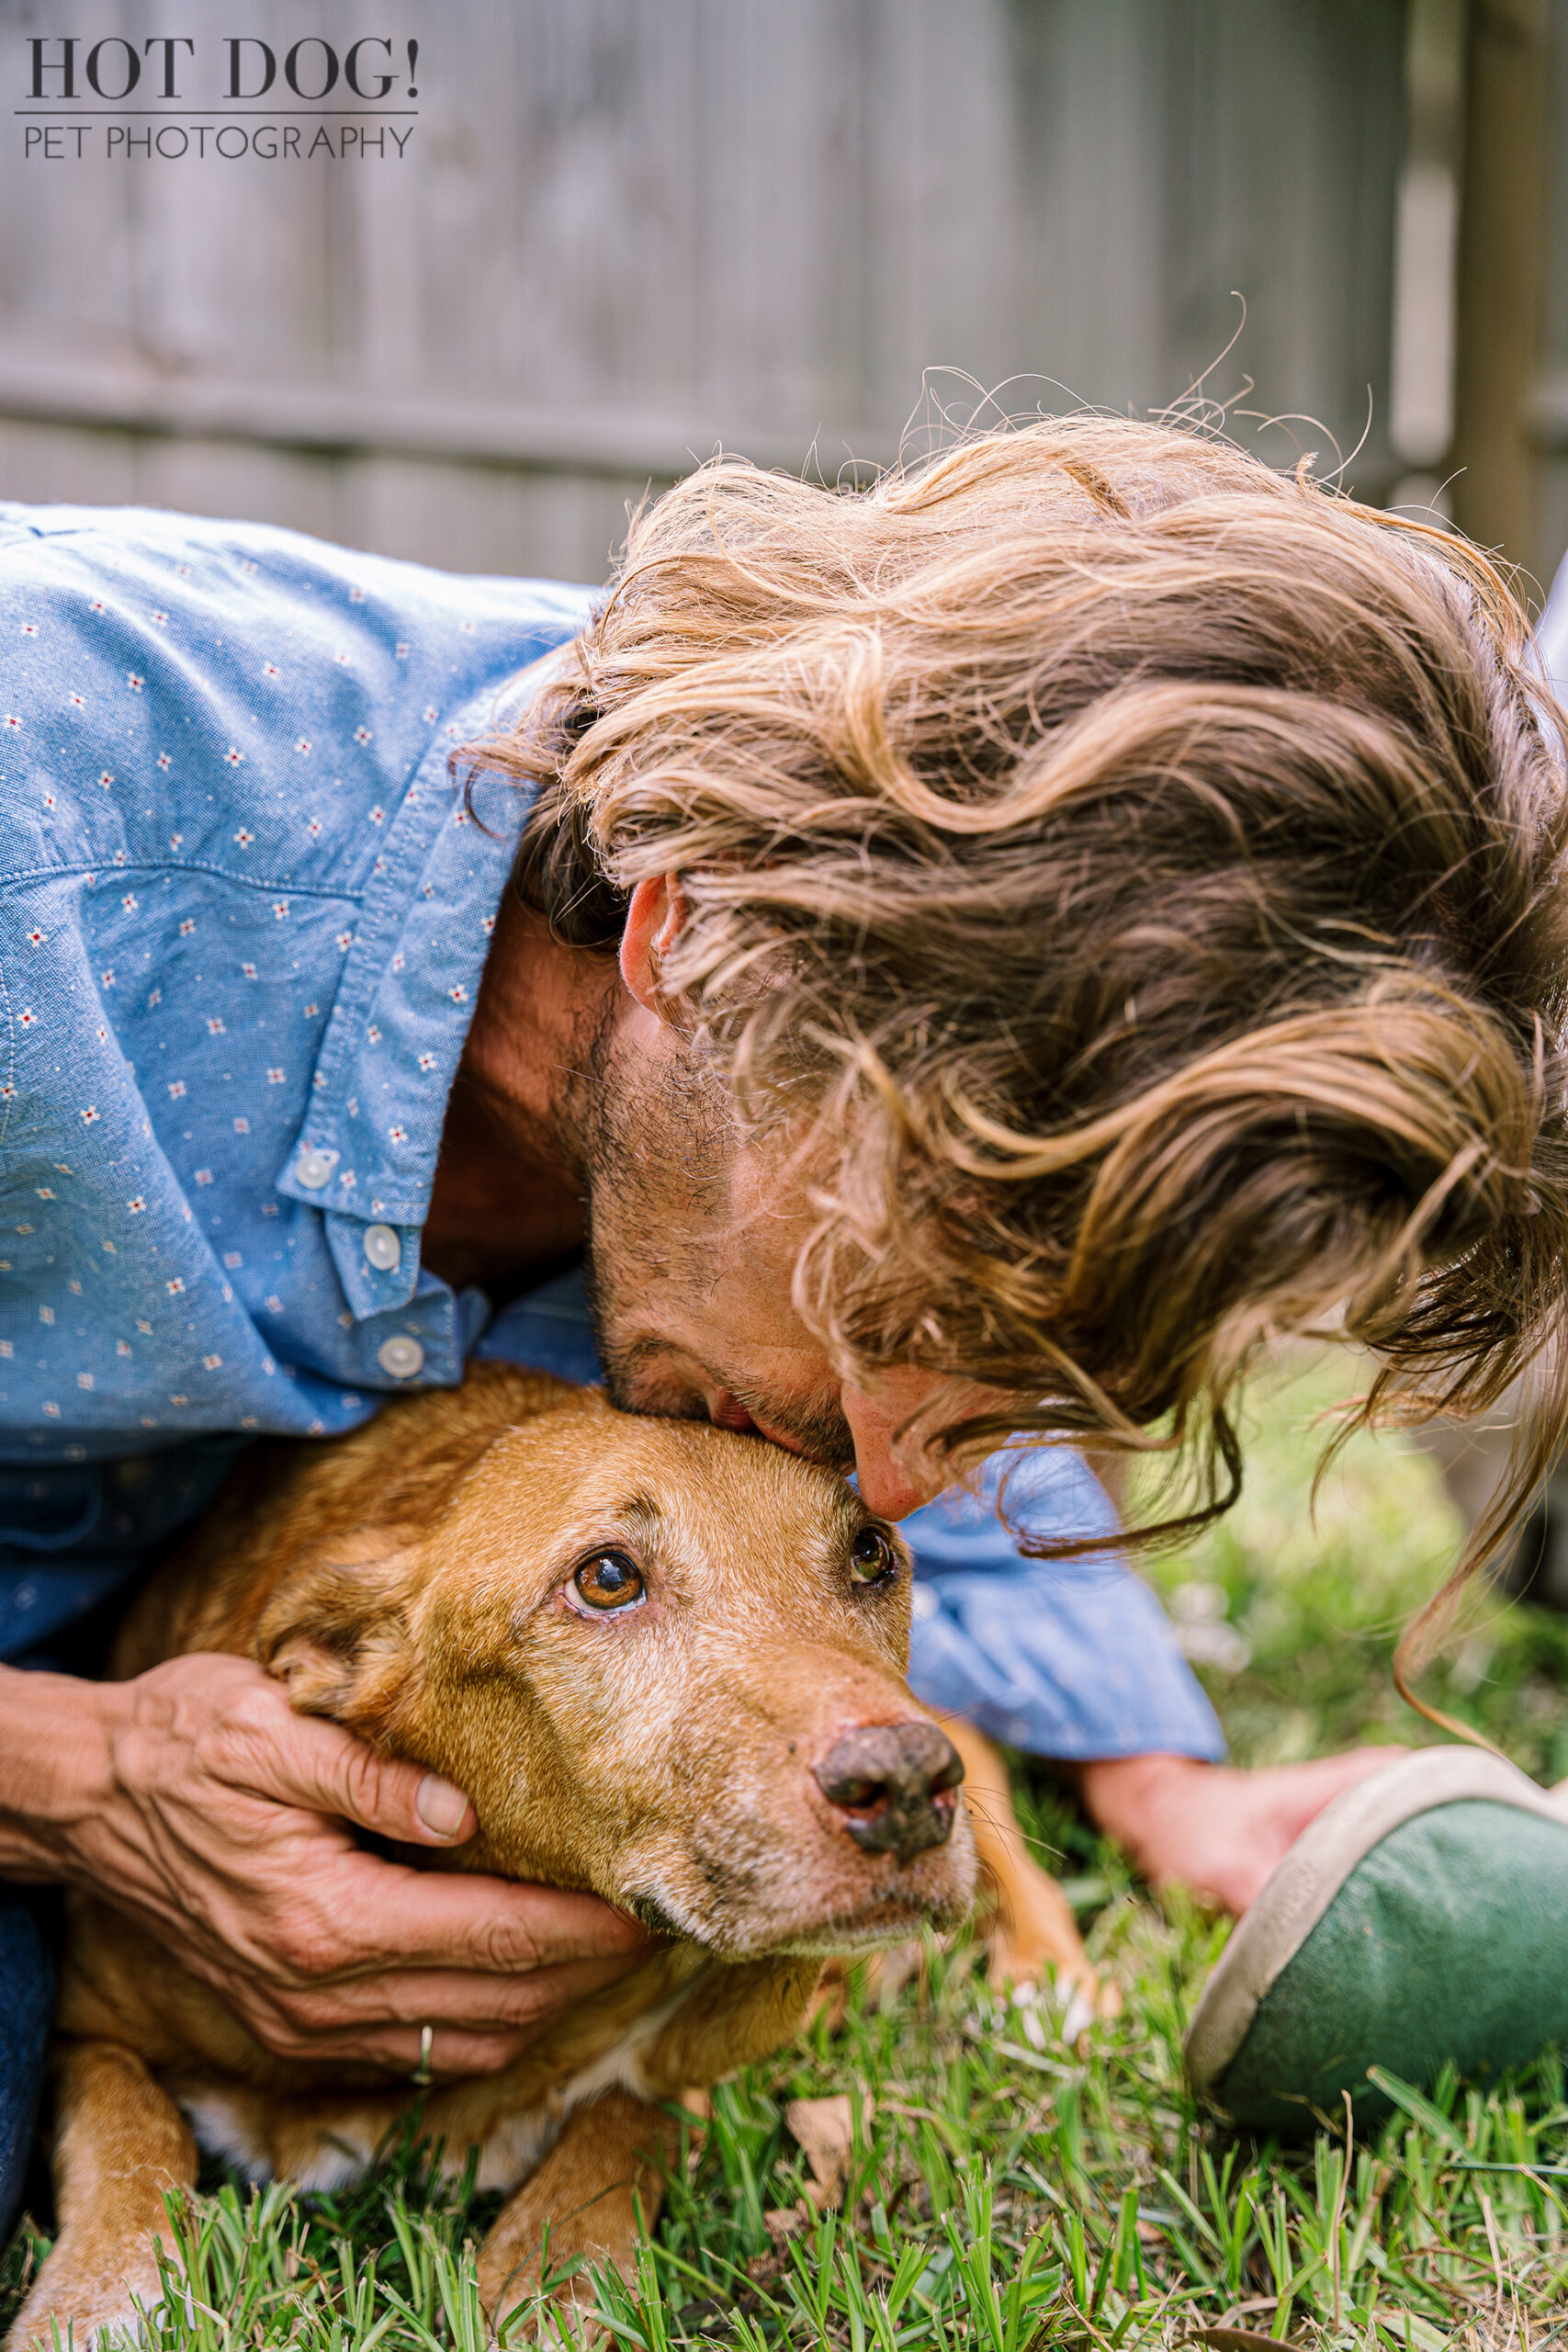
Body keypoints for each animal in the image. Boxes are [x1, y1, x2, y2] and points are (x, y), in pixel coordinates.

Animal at [12, 1374, 1090, 2342]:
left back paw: (1049, 1981)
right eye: (607, 1578)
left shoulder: (683, 2058)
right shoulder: (86, 2021)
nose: (905, 1785)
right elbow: (128, 2129)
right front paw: (99, 2295)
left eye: (869, 1553)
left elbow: (619, 2122)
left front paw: (554, 2275)